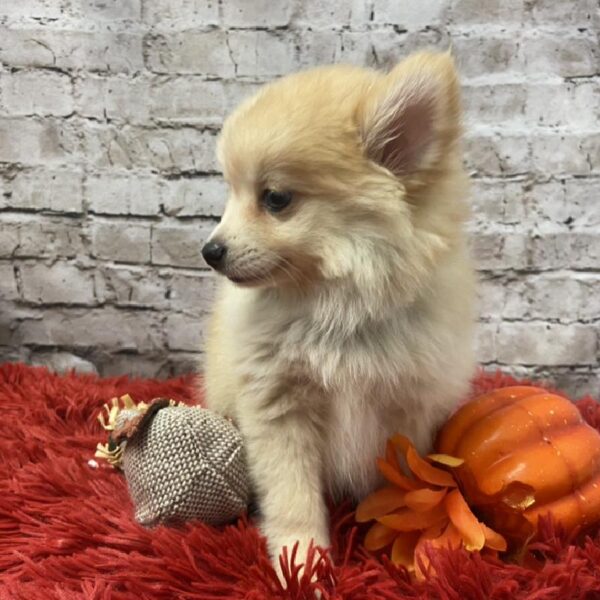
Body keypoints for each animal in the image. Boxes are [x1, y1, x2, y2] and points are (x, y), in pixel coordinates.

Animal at [204, 52, 476, 572]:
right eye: (229, 194)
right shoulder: (278, 408)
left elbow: (404, 482)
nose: (210, 251)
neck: (336, 310)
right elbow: (292, 496)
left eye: (275, 199)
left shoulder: (405, 410)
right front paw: (300, 562)